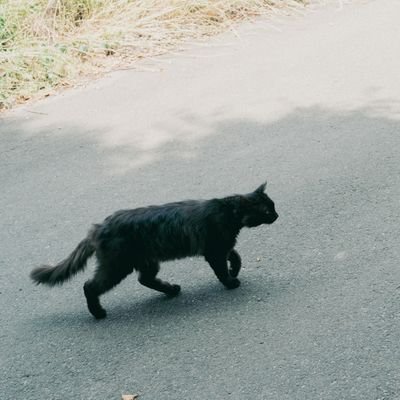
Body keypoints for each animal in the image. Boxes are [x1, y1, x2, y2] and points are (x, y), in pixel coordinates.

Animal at [31, 184, 278, 318]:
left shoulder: (224, 246)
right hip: (117, 266)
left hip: (147, 262)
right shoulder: (215, 251)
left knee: (145, 280)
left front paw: (234, 271)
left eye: (273, 206)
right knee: (90, 286)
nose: (277, 215)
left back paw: (172, 290)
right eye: (268, 210)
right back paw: (98, 313)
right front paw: (231, 282)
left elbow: (236, 257)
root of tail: (99, 226)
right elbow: (222, 269)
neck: (228, 212)